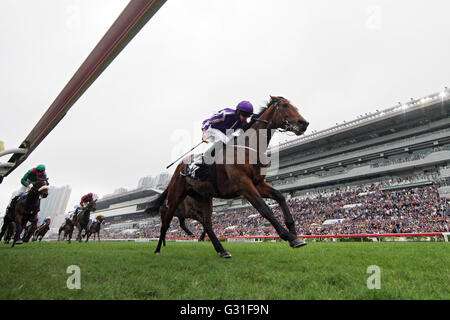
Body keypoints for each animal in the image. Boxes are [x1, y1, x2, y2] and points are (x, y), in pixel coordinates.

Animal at [149, 95, 310, 258]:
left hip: (204, 197)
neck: (248, 149)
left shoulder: (258, 184)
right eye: (285, 106)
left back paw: (222, 250)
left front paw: (294, 233)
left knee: (207, 223)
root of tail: (178, 169)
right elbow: (265, 209)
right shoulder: (244, 185)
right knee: (166, 223)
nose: (304, 123)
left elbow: (280, 196)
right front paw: (289, 237)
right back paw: (157, 249)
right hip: (175, 197)